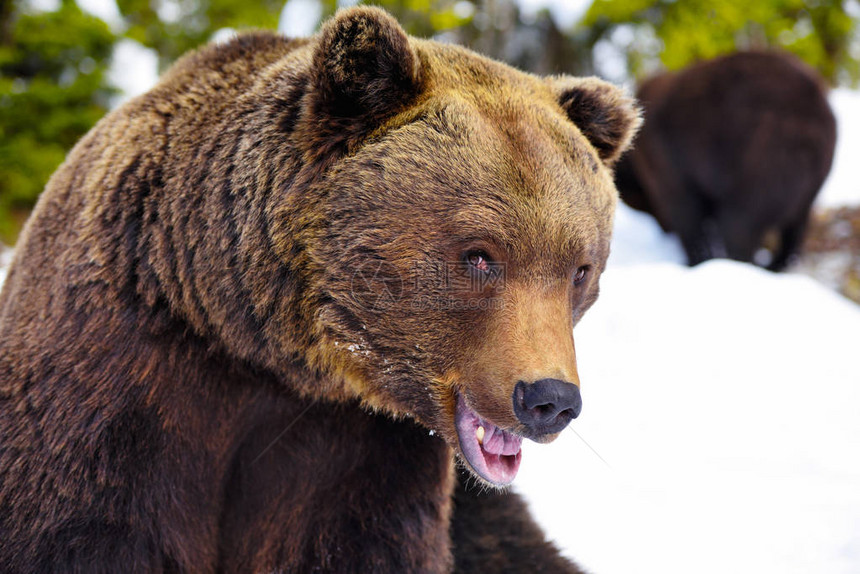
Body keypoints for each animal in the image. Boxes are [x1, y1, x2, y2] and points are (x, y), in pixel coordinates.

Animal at [0, 6, 640, 572]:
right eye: (480, 256)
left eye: (579, 269)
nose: (548, 398)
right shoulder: (120, 387)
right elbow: (85, 527)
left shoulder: (357, 453)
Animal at [616, 50, 836, 272]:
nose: (663, 230)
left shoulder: (666, 159)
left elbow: (685, 211)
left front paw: (696, 258)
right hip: (812, 178)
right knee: (795, 226)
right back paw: (777, 263)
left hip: (761, 155)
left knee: (740, 223)